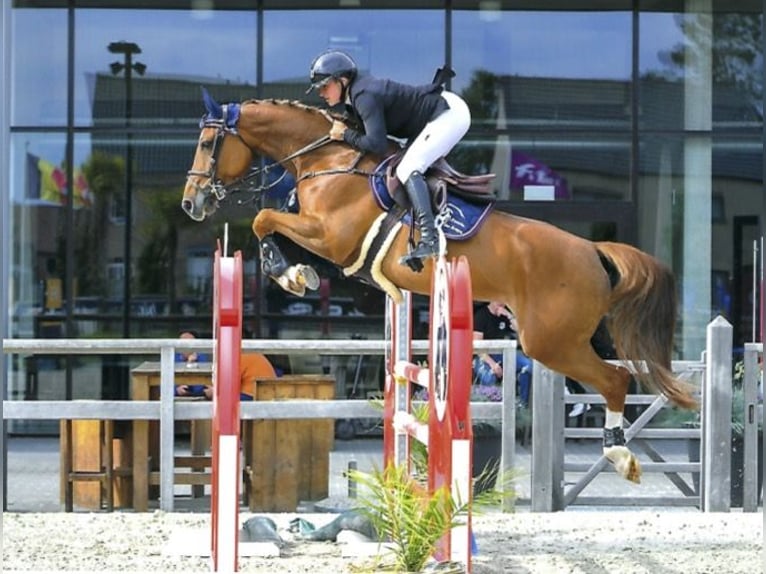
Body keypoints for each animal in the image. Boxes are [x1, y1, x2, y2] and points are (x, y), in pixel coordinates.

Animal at [183, 90, 700, 486]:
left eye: (208, 142)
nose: (191, 203)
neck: (328, 160)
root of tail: (593, 249)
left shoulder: (331, 238)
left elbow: (263, 218)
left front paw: (288, 274)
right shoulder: (324, 240)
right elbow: (271, 224)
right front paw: (294, 274)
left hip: (550, 340)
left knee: (615, 379)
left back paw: (620, 455)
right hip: (564, 337)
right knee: (615, 375)